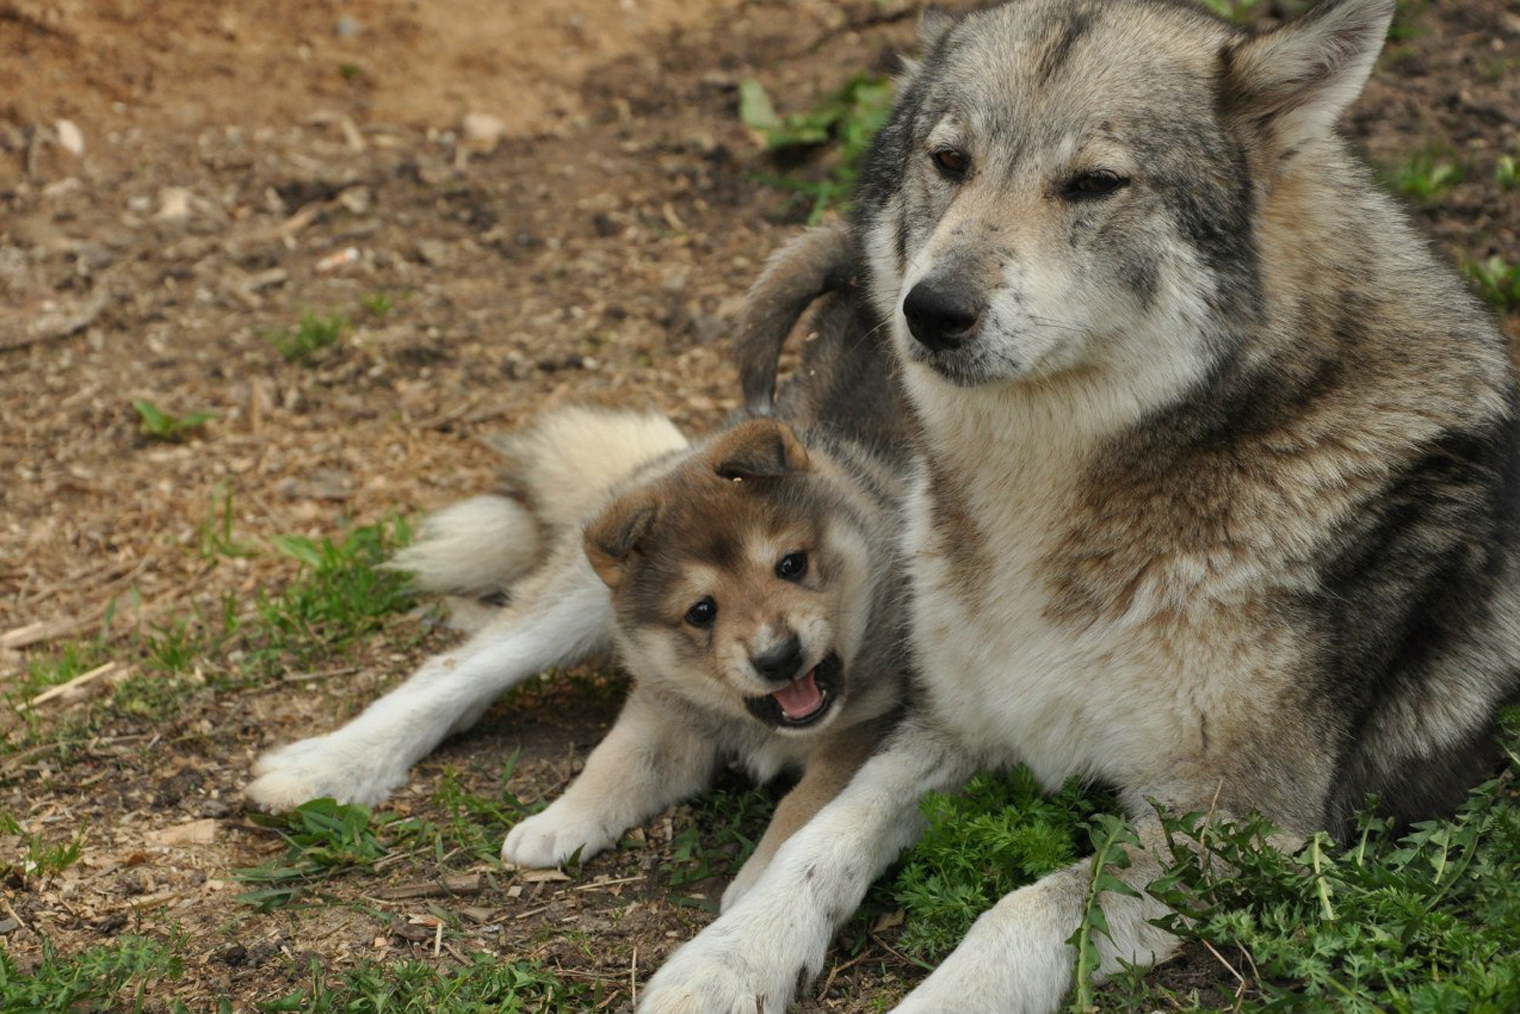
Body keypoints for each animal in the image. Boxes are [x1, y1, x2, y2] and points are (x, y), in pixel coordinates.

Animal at [240, 232, 912, 906]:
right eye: (702, 612)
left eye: (792, 565)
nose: (778, 658)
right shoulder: (667, 704)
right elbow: (616, 758)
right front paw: (558, 820)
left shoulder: (861, 737)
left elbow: (802, 808)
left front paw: (755, 887)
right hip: (573, 599)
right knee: (457, 671)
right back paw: (319, 768)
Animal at [641, 1, 1520, 1014]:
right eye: (950, 162)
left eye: (1095, 184)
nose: (930, 311)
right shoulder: (955, 725)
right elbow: (823, 842)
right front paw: (723, 963)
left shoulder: (1239, 824)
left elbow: (1022, 909)